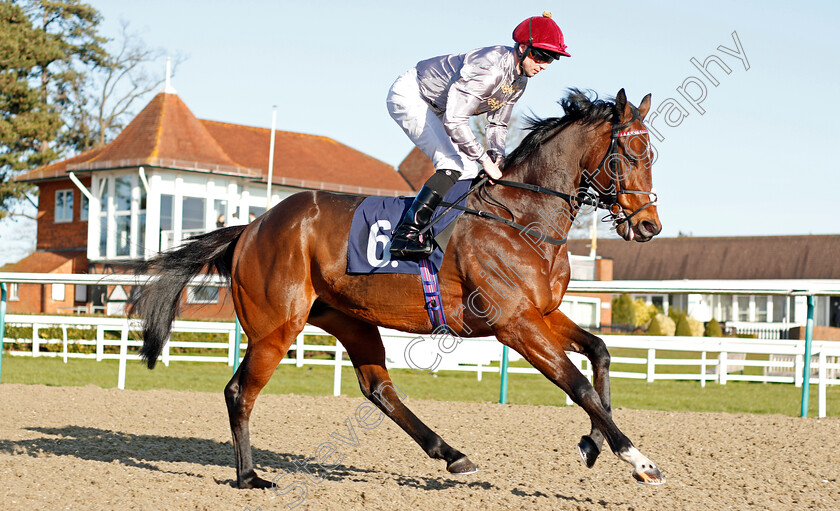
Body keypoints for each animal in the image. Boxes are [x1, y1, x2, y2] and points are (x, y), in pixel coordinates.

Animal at [130, 89, 664, 492]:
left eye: (652, 154)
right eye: (629, 155)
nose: (648, 226)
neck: (520, 219)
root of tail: (252, 226)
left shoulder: (544, 313)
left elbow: (600, 352)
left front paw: (593, 443)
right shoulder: (514, 324)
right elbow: (577, 384)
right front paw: (639, 460)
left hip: (350, 319)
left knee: (378, 388)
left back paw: (450, 453)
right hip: (275, 327)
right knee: (240, 390)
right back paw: (249, 477)